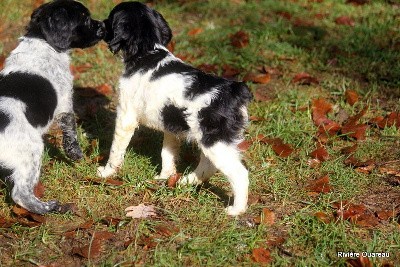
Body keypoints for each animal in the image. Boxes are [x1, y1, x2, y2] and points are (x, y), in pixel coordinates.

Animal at [0, 0, 105, 214]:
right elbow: (71, 130)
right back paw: (48, 207)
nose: (103, 26)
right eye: (85, 18)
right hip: (31, 152)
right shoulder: (65, 101)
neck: (41, 41)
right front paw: (76, 154)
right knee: (20, 193)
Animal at [98, 1, 252, 216]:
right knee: (208, 165)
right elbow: (168, 153)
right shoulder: (171, 125)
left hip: (215, 140)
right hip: (209, 139)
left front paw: (106, 172)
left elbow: (115, 150)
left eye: (110, 19)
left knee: (239, 173)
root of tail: (235, 91)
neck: (148, 52)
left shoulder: (126, 116)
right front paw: (165, 177)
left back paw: (236, 210)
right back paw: (186, 180)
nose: (99, 25)